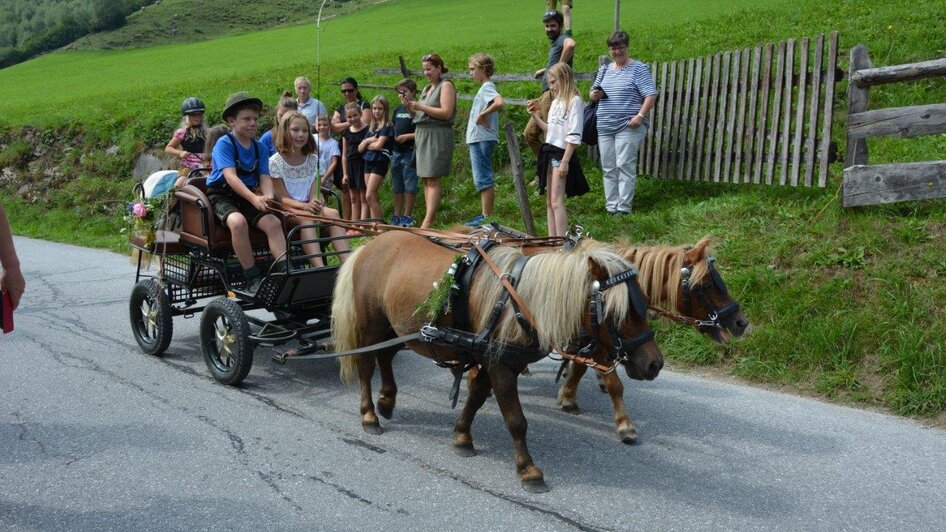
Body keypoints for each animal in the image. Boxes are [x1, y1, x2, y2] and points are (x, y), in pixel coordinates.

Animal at [332, 231, 664, 492]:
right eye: (620, 311)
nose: (655, 364)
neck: (519, 302)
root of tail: (369, 245)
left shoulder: (493, 361)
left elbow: (477, 397)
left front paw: (462, 437)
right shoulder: (501, 367)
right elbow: (516, 420)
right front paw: (528, 470)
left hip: (397, 330)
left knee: (385, 357)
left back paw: (387, 401)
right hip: (372, 327)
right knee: (366, 367)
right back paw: (369, 415)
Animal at [552, 239, 744, 442]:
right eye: (707, 286)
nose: (742, 322)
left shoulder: (597, 339)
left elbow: (581, 367)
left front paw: (568, 396)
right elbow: (612, 382)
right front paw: (624, 423)